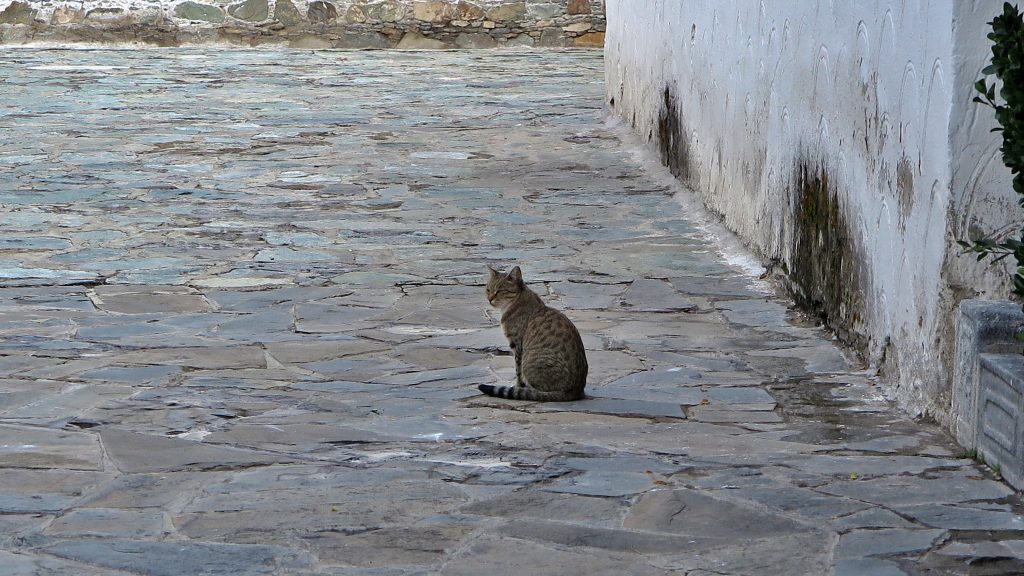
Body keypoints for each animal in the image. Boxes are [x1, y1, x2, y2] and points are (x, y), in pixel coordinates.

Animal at [477, 264, 589, 399]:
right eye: (488, 289)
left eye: (499, 291)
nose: (489, 299)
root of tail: (576, 390)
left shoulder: (517, 345)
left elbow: (518, 372)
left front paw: (518, 386)